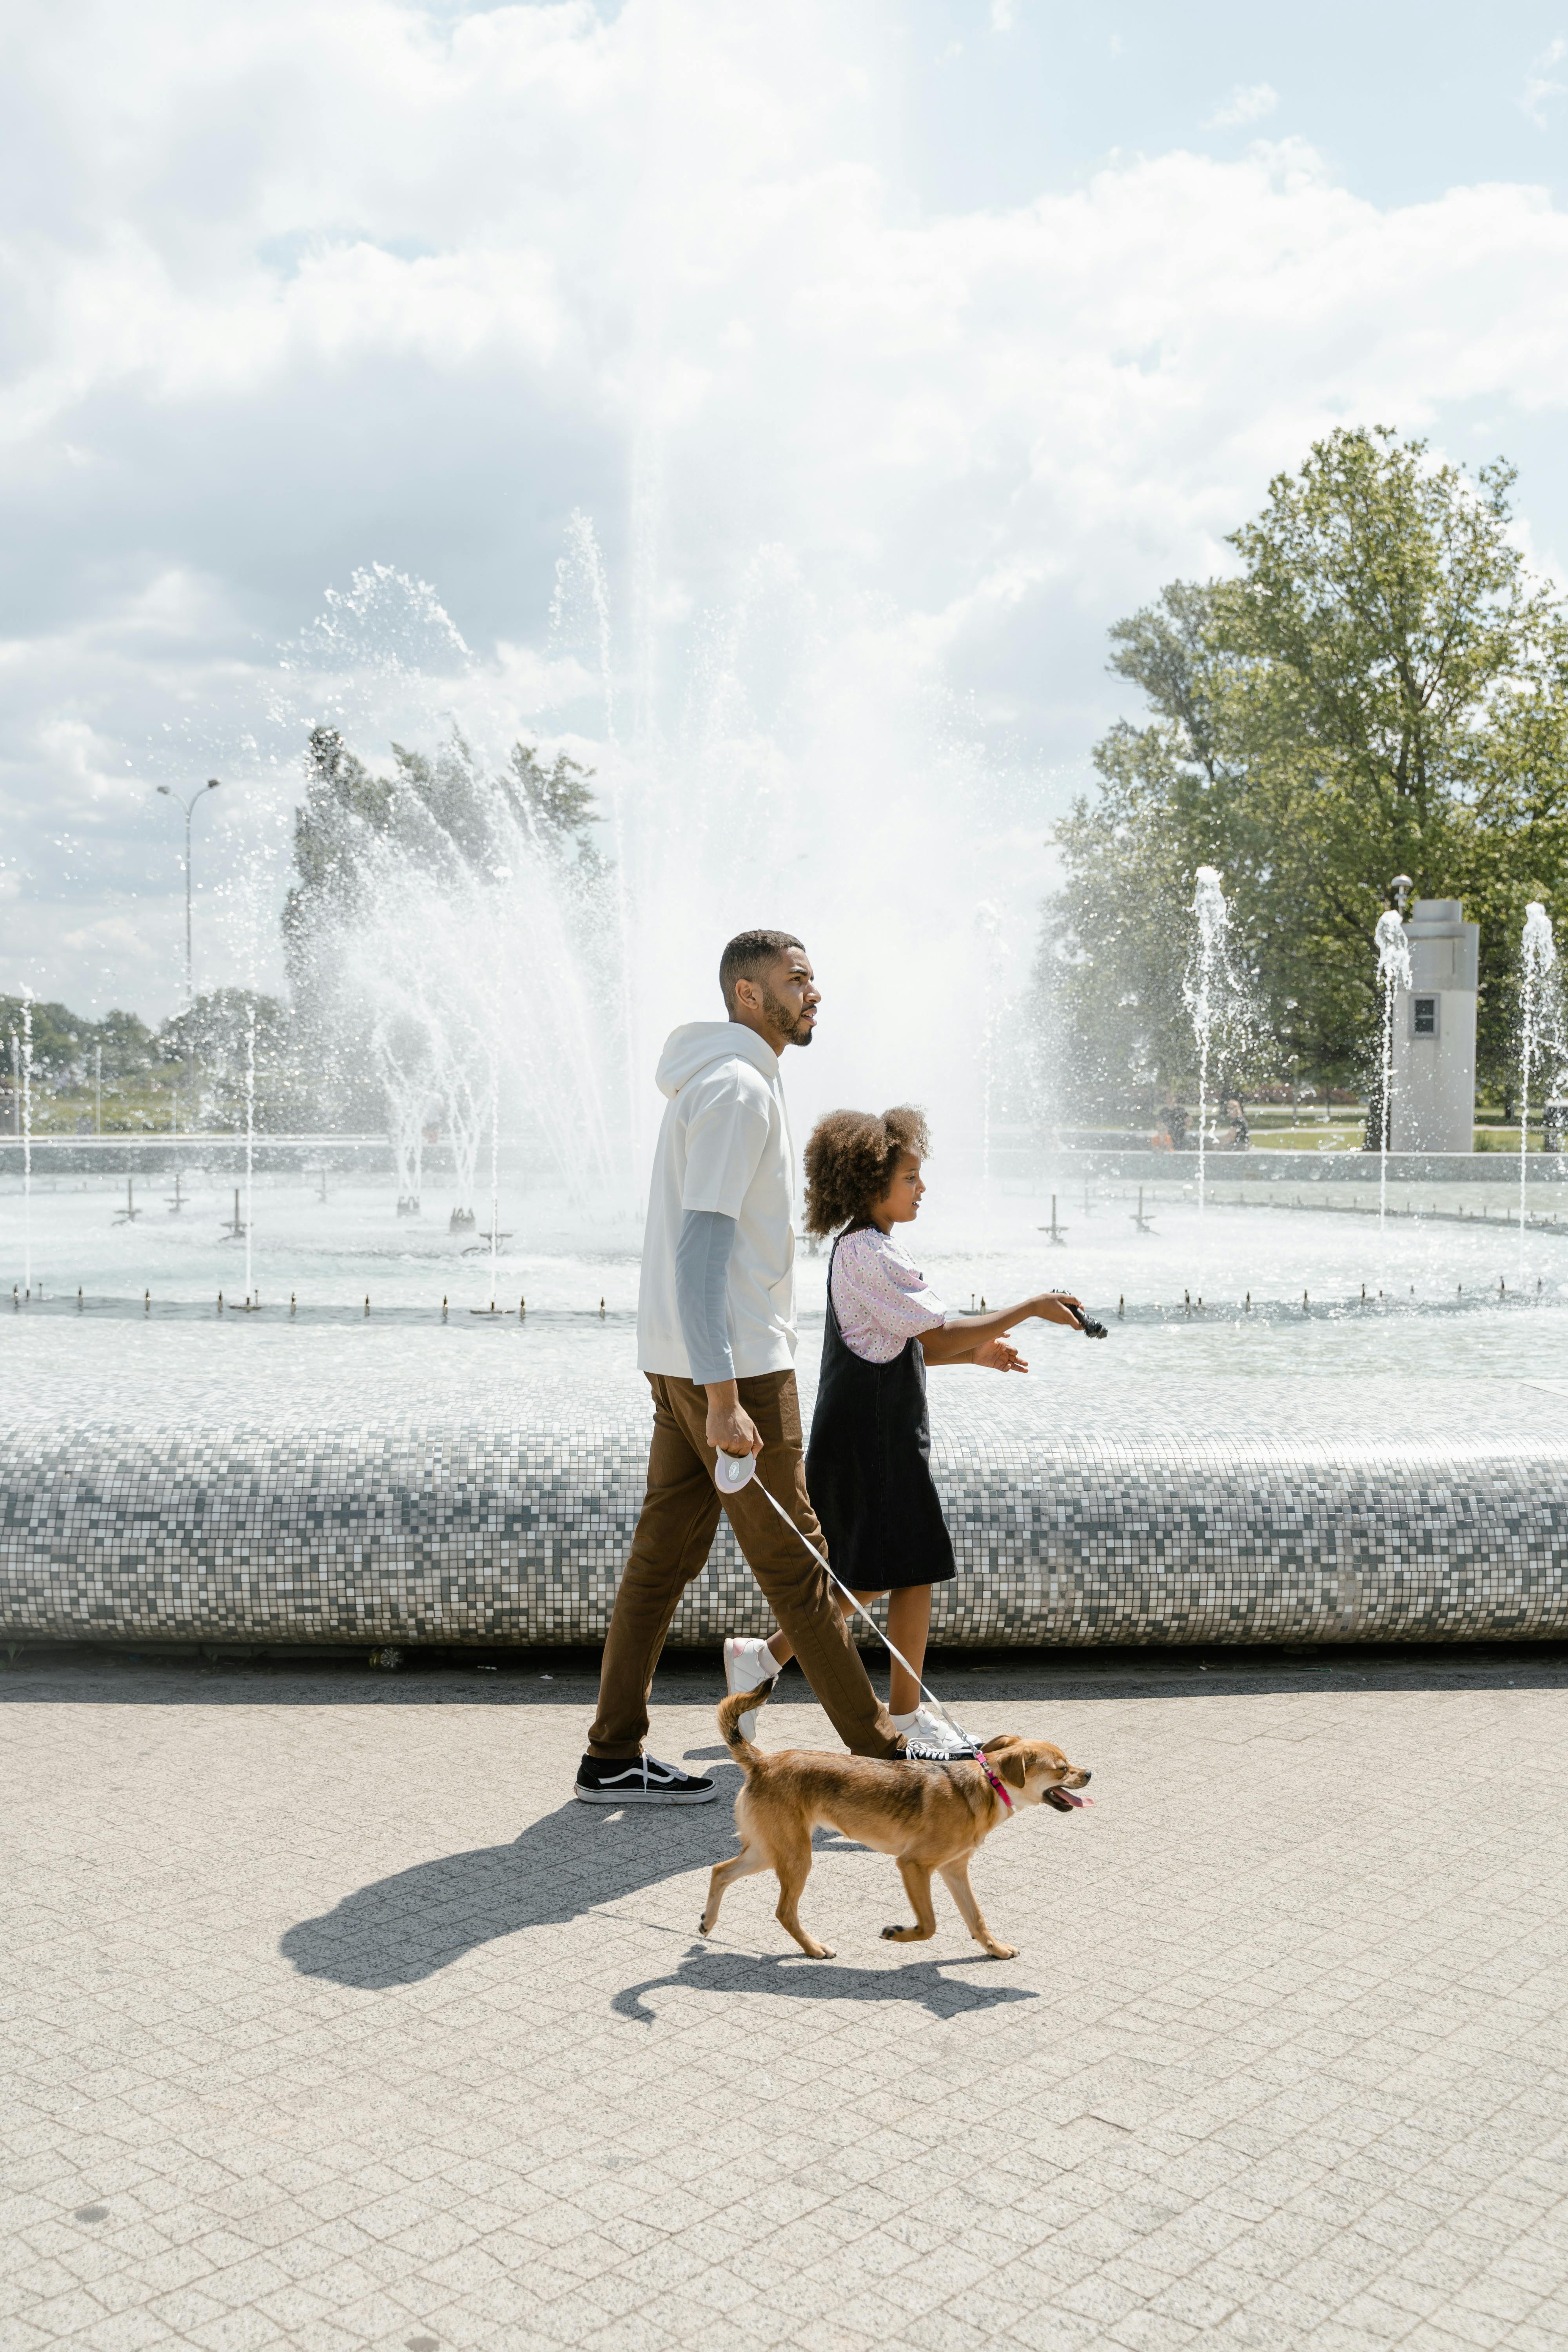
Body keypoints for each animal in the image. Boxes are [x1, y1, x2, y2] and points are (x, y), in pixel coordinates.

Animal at [701, 1684, 1091, 1957]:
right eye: (1061, 1769)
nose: (1089, 1773)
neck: (985, 1785)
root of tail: (763, 1762)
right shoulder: (914, 1866)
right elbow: (930, 1925)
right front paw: (900, 1934)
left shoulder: (954, 1870)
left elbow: (976, 1918)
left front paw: (995, 1949)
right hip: (796, 1857)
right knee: (784, 1911)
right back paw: (813, 1949)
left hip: (770, 1851)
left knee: (720, 1871)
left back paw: (708, 1922)